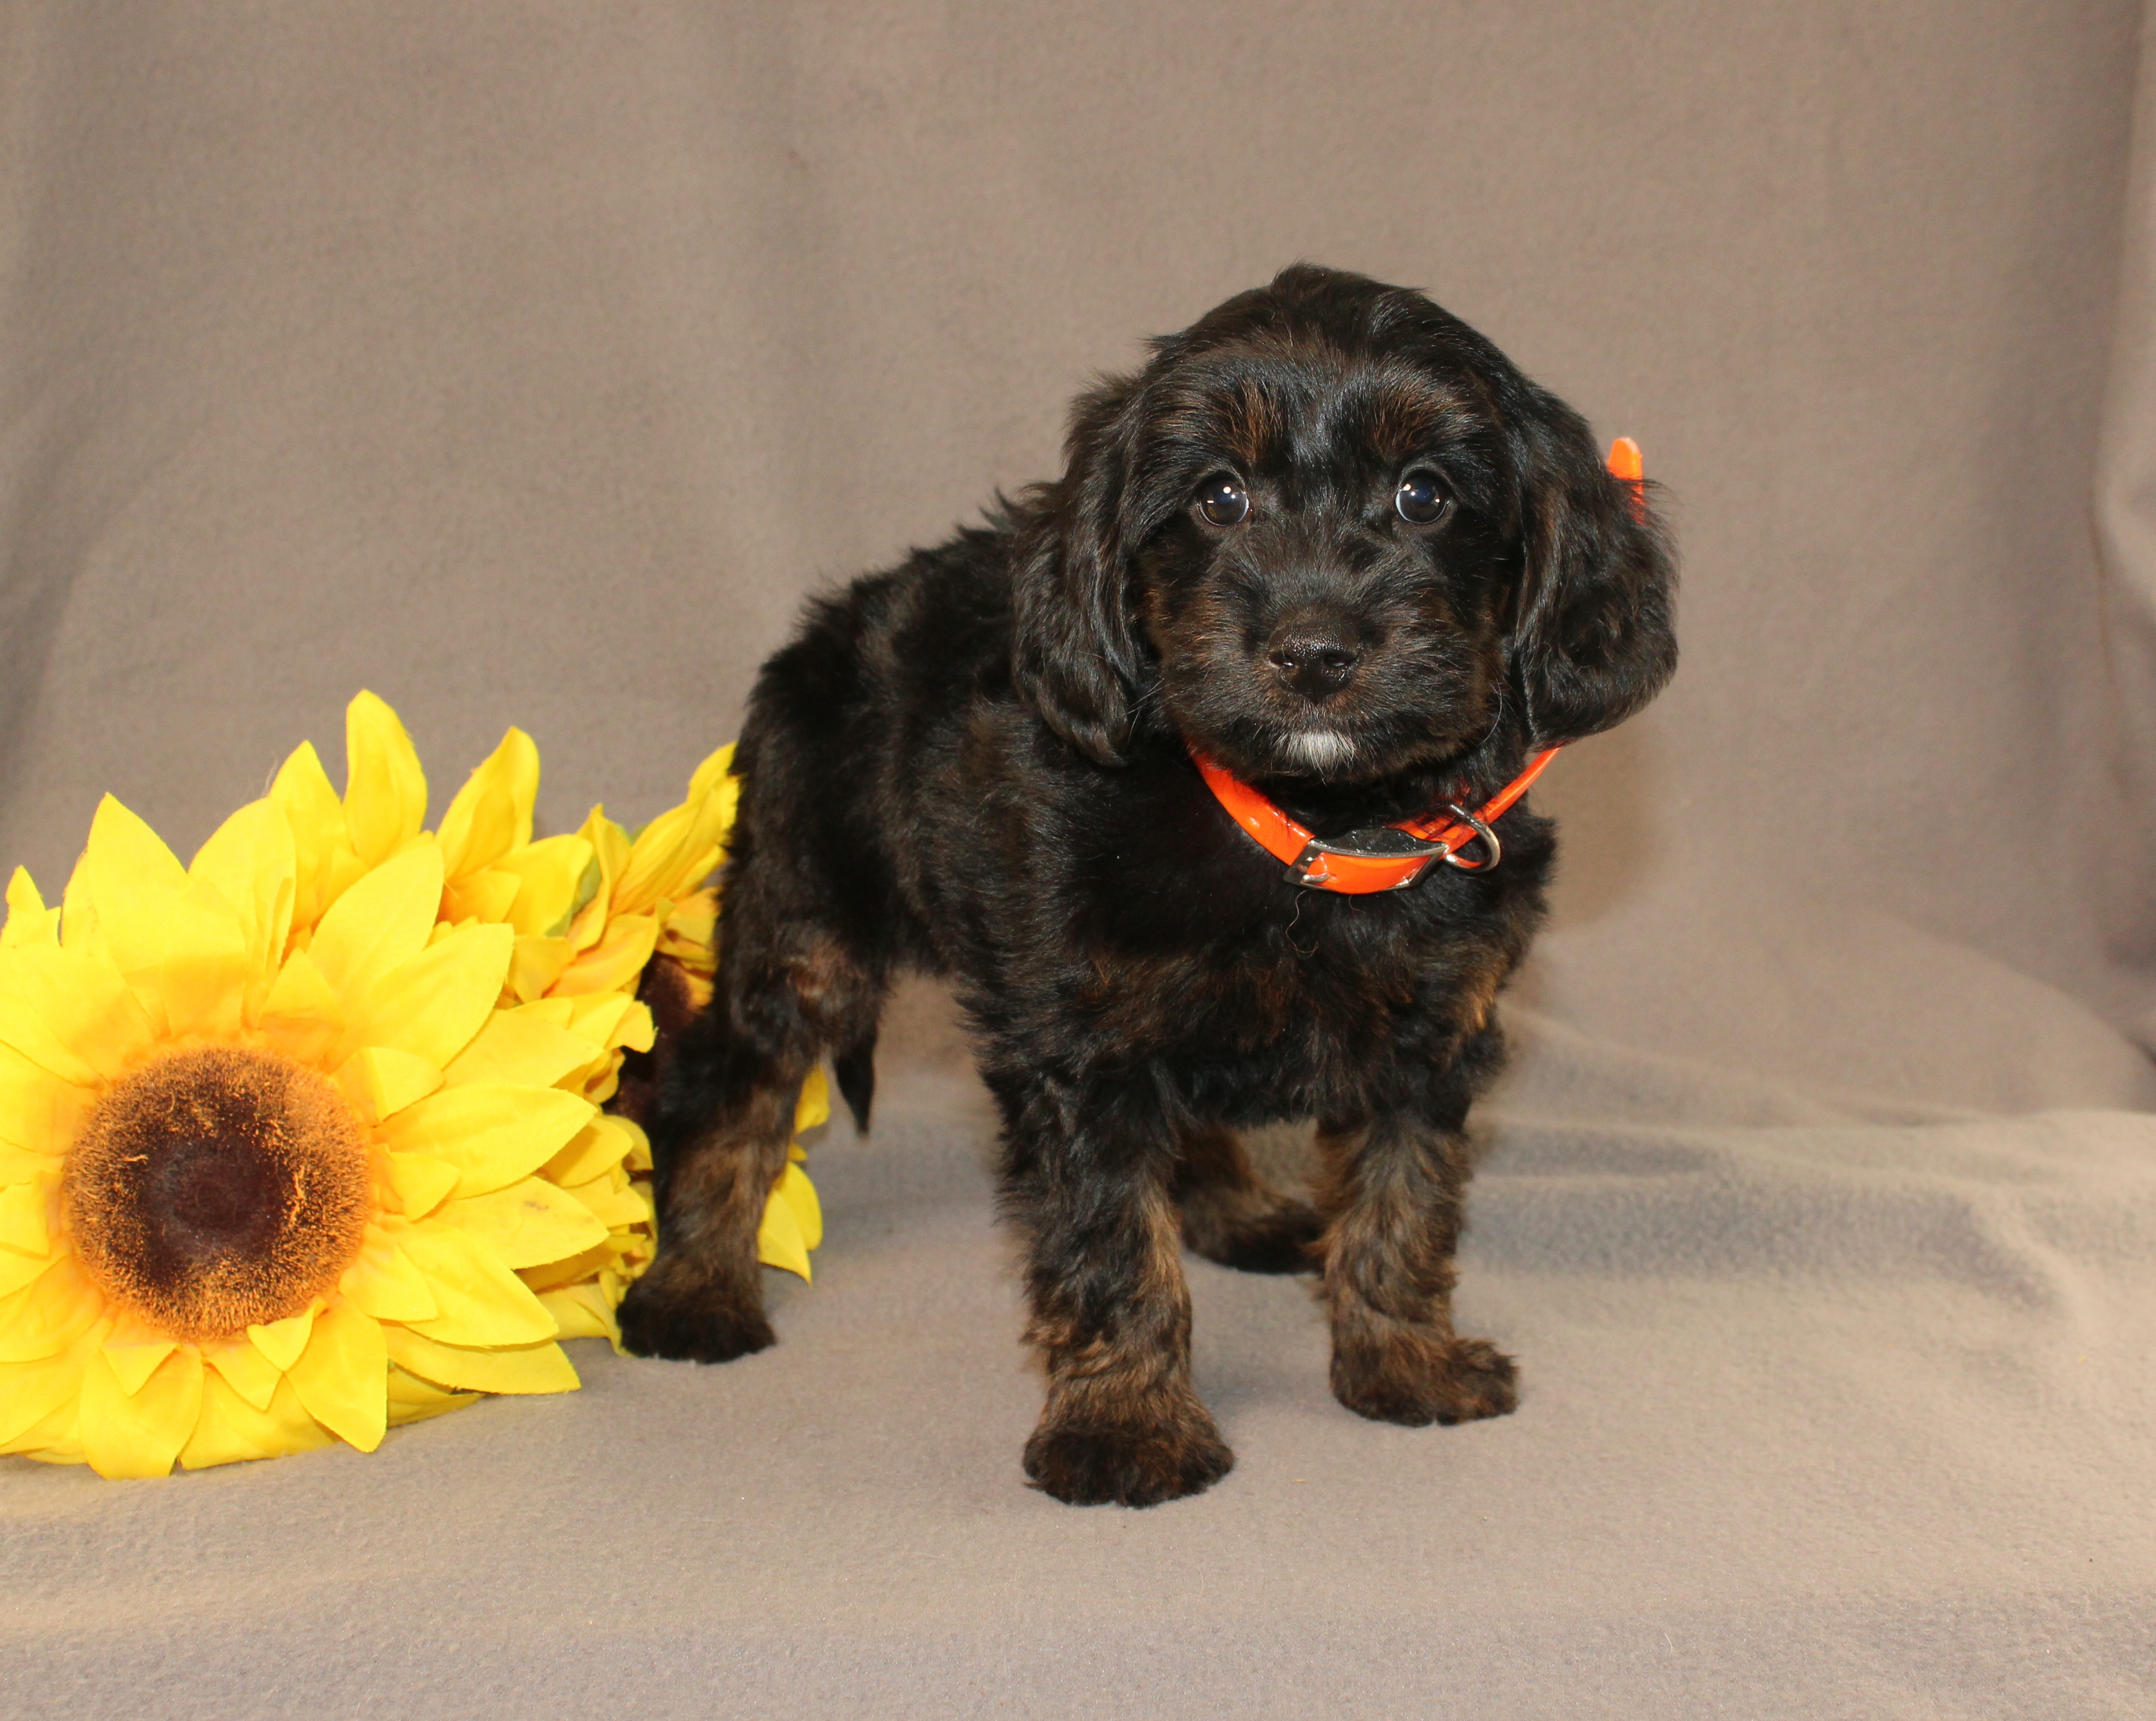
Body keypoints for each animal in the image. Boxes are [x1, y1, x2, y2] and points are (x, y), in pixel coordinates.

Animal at [616, 266, 1673, 1509]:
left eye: (1425, 494)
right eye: (1218, 497)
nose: (1313, 650)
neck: (1308, 824)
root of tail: (831, 622)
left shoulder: (1430, 1030)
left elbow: (1404, 1198)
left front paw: (1402, 1361)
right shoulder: (1081, 1045)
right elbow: (1112, 1240)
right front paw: (1126, 1425)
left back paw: (1239, 1211)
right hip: (804, 917)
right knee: (732, 1086)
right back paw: (697, 1287)